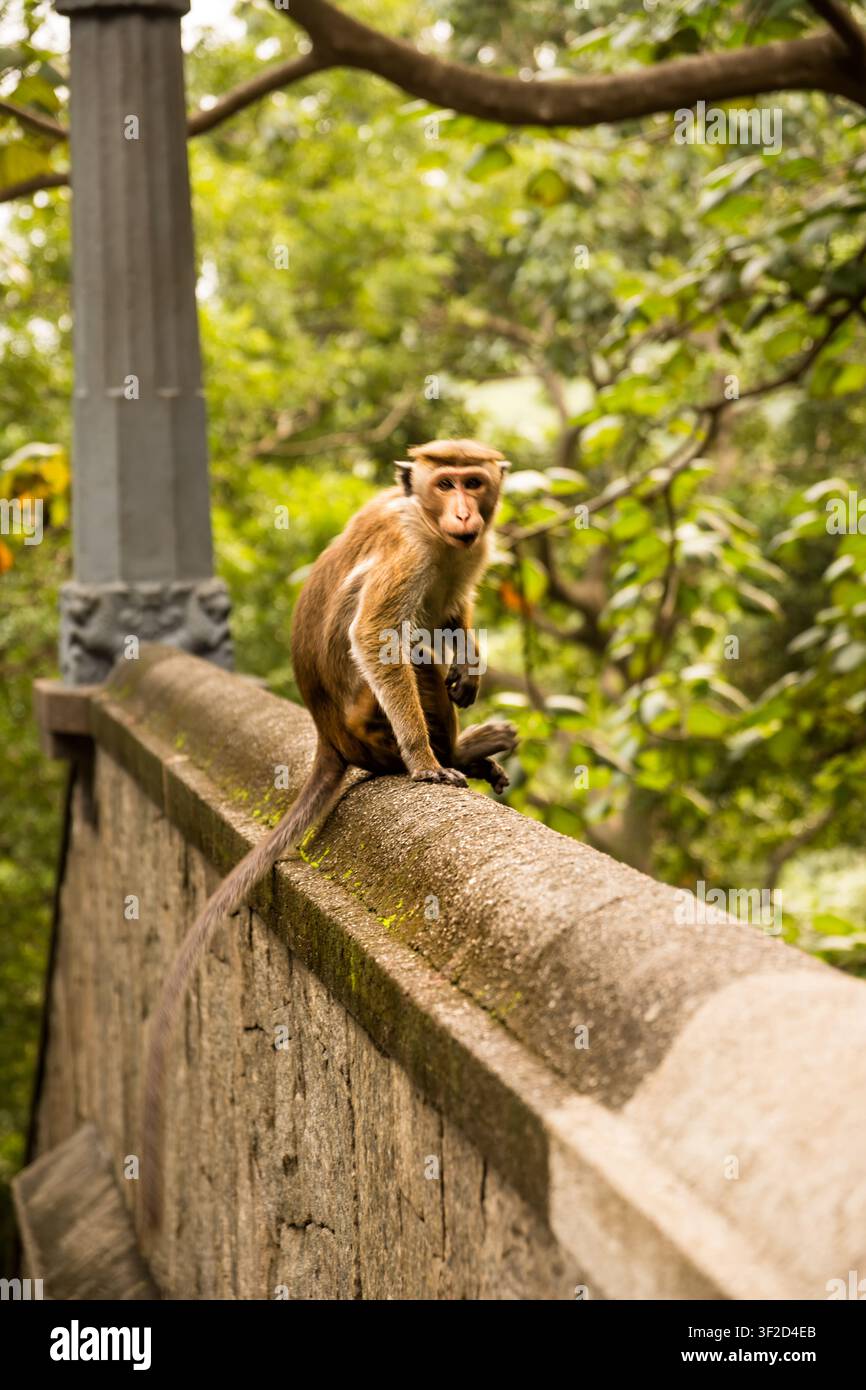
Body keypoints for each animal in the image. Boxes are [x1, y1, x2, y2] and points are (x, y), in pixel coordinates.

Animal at [140, 438, 519, 1226]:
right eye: (445, 483)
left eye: (474, 482)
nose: (464, 512)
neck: (432, 527)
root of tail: (326, 735)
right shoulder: (409, 548)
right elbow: (379, 634)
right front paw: (426, 763)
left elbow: (457, 610)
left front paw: (472, 666)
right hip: (365, 721)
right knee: (411, 649)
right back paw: (450, 752)